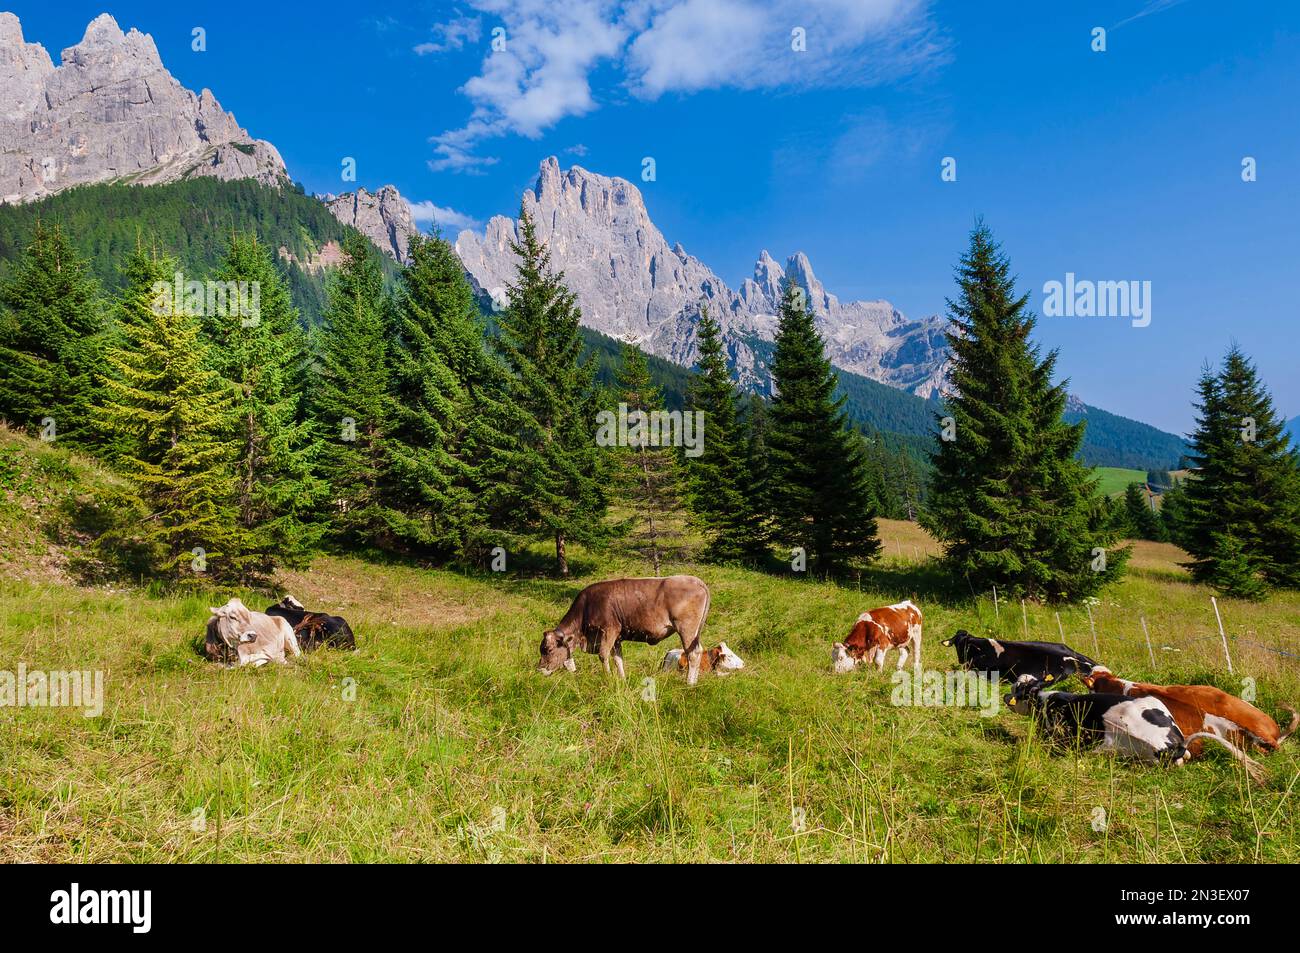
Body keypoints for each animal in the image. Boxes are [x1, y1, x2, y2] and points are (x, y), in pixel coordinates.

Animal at [535, 577, 712, 681]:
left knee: (693, 654)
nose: (539, 669)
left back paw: (689, 683)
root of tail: (696, 580)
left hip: (686, 629)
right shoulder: (617, 638)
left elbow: (603, 655)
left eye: (548, 649)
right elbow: (618, 659)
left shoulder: (609, 630)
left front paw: (607, 678)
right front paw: (622, 680)